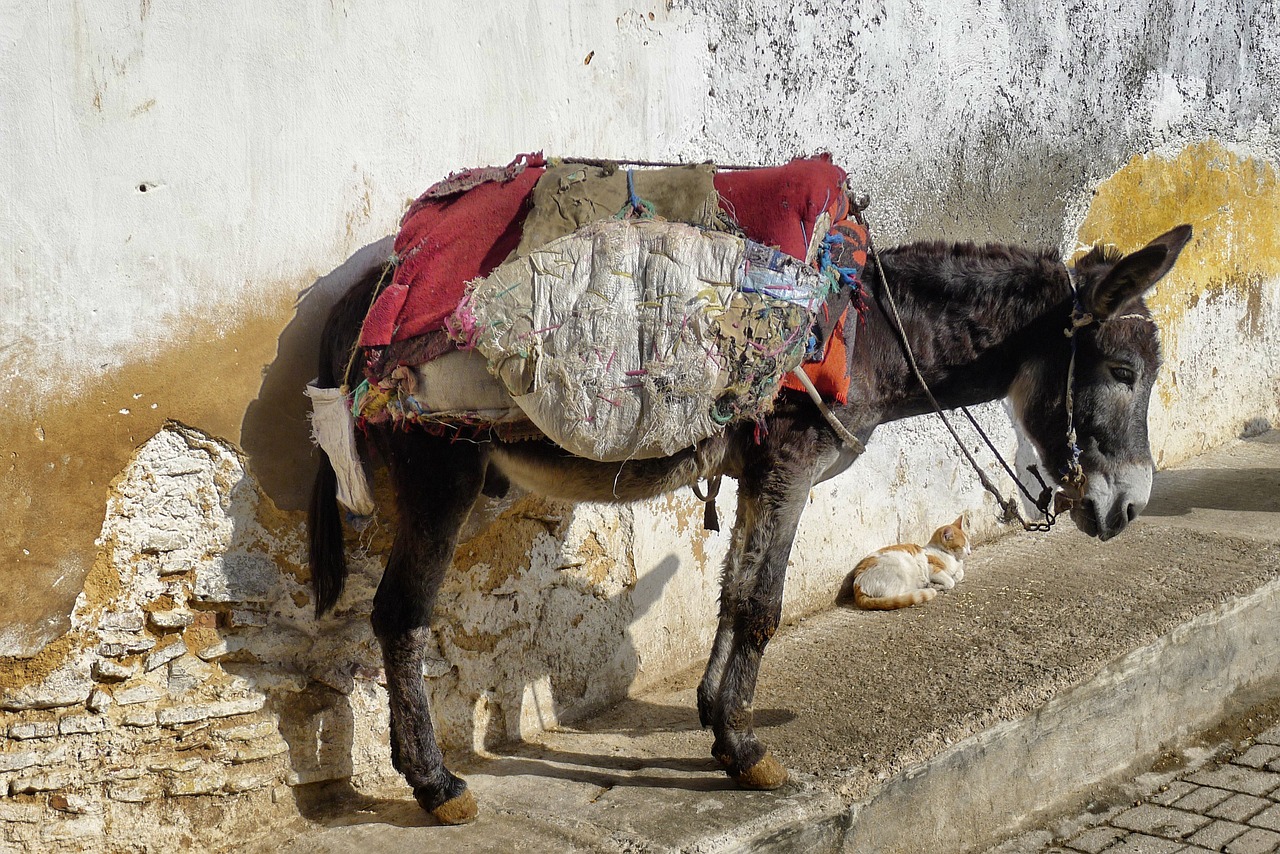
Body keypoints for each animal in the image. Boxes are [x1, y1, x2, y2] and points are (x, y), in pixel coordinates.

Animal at [829, 517, 967, 612]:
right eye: (963, 546)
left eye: (968, 544)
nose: (969, 552)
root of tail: (857, 584)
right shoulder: (932, 567)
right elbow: (950, 581)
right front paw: (940, 584)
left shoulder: (957, 568)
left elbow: (960, 573)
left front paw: (956, 575)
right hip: (899, 568)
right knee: (894, 596)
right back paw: (924, 588)